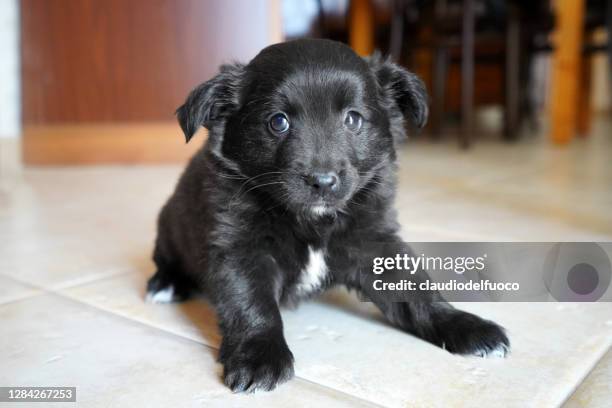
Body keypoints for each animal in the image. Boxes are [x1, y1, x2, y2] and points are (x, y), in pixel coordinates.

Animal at [146, 38, 510, 392]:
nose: (322, 181)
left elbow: (415, 289)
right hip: (168, 227)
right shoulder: (240, 248)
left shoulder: (374, 243)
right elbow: (251, 302)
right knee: (166, 260)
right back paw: (165, 284)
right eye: (278, 122)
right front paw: (260, 356)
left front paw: (463, 325)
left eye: (353, 119)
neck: (312, 221)